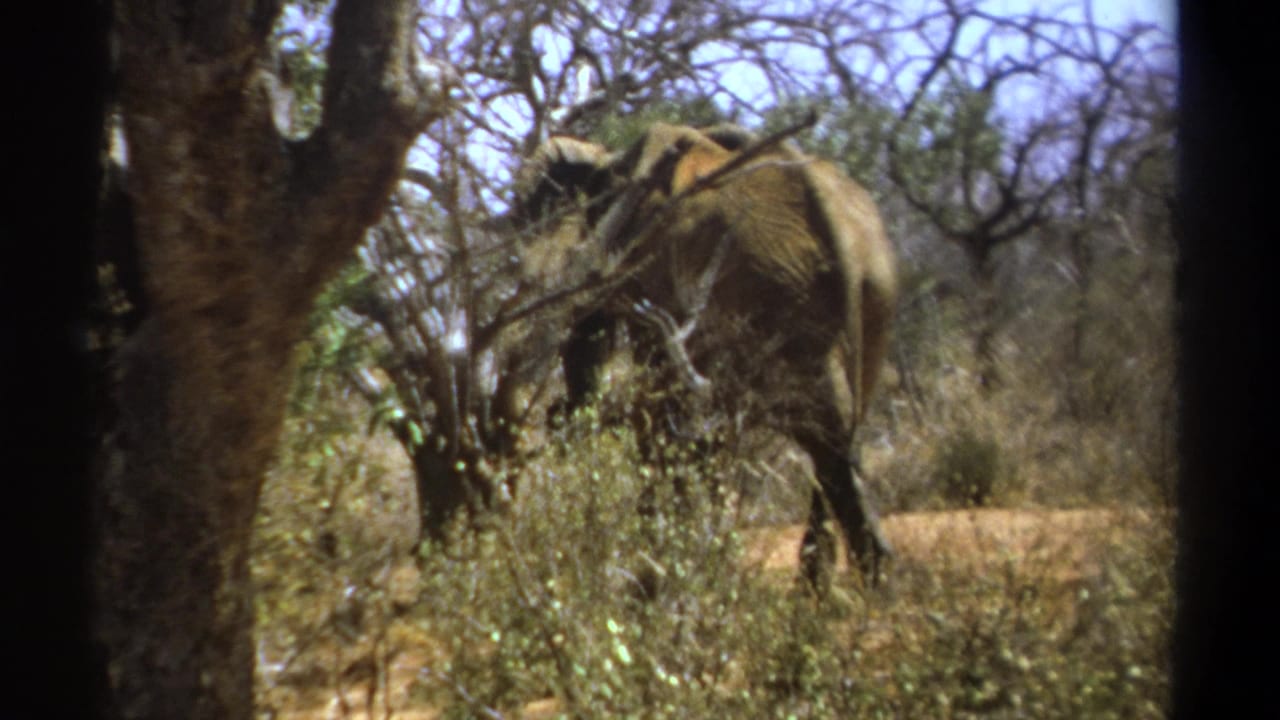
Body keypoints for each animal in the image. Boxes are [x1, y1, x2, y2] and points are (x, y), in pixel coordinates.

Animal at [516, 122, 898, 592]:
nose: (555, 414)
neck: (613, 159)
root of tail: (849, 245)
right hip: (868, 304)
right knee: (834, 448)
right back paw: (834, 588)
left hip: (787, 306)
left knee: (827, 445)